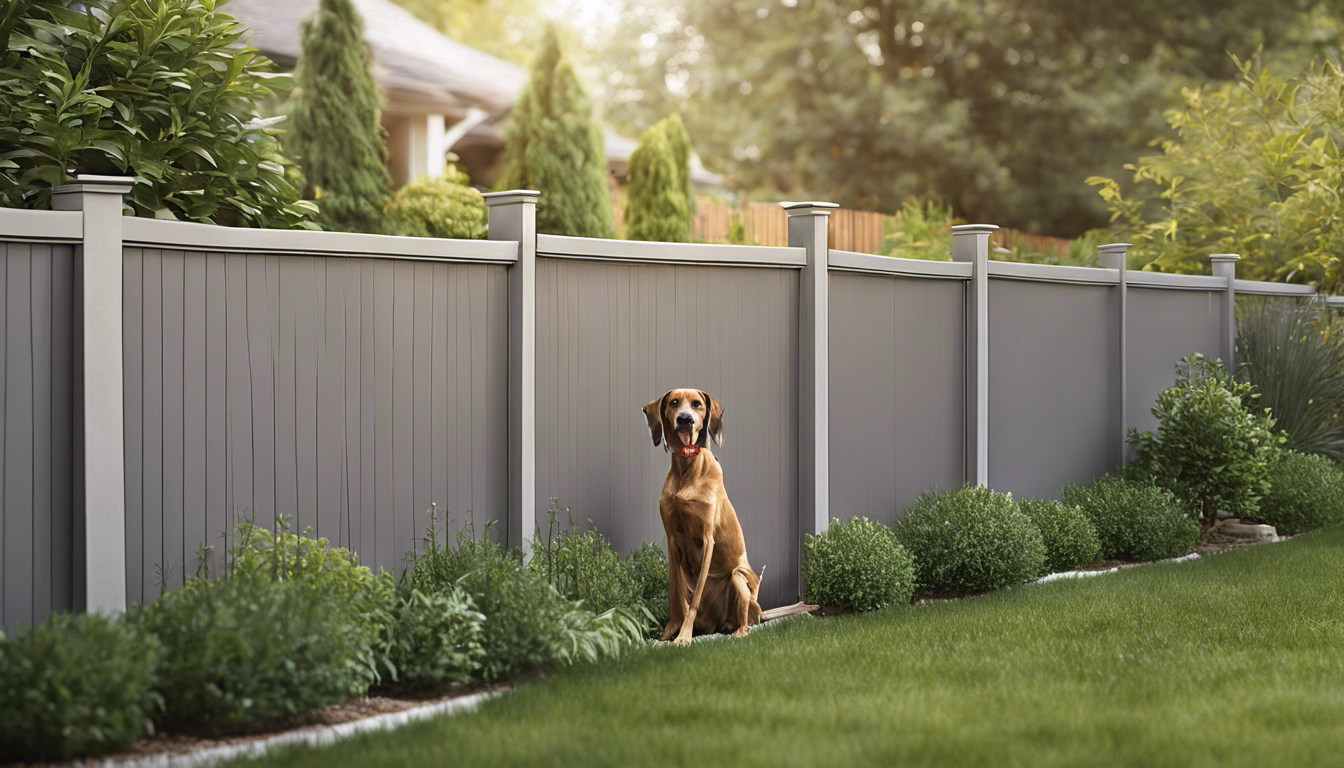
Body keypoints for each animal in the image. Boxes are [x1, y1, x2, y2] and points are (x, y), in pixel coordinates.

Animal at [642, 387, 763, 645]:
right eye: (673, 402)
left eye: (697, 404)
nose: (685, 420)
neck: (687, 465)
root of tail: (722, 624)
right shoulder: (672, 540)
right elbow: (677, 597)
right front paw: (669, 633)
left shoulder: (707, 538)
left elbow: (694, 600)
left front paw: (684, 636)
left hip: (738, 578)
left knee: (745, 621)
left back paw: (739, 631)